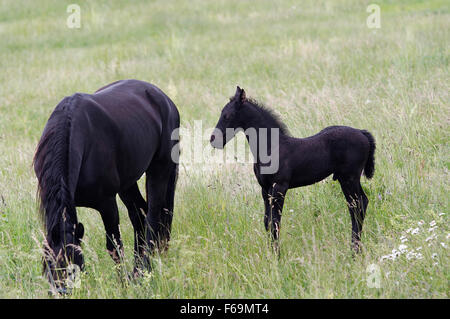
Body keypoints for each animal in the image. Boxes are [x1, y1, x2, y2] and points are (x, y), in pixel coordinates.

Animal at [34, 79, 180, 292]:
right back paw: (138, 271)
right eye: (48, 265)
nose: (61, 291)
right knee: (140, 216)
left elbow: (114, 247)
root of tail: (163, 98)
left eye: (72, 263)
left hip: (159, 170)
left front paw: (123, 284)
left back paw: (145, 268)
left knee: (153, 218)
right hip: (128, 184)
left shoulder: (107, 203)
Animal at [211, 87, 376, 255]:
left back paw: (354, 250)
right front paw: (270, 254)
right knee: (358, 204)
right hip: (346, 179)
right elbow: (267, 222)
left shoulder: (280, 187)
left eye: (228, 116)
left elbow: (275, 222)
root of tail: (362, 132)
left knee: (358, 206)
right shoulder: (265, 189)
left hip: (350, 178)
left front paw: (277, 256)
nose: (213, 139)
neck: (271, 147)